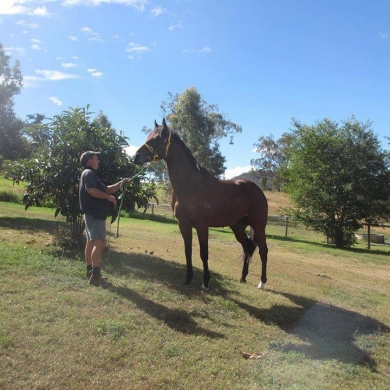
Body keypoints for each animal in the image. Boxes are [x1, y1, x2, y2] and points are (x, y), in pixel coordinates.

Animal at [134, 119, 268, 290]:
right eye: (148, 136)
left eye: (157, 138)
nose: (136, 156)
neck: (191, 186)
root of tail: (256, 189)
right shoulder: (184, 224)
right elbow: (188, 251)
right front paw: (188, 279)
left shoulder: (202, 226)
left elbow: (204, 253)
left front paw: (205, 282)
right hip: (237, 226)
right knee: (247, 247)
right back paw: (243, 277)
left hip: (258, 225)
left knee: (263, 250)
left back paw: (262, 283)